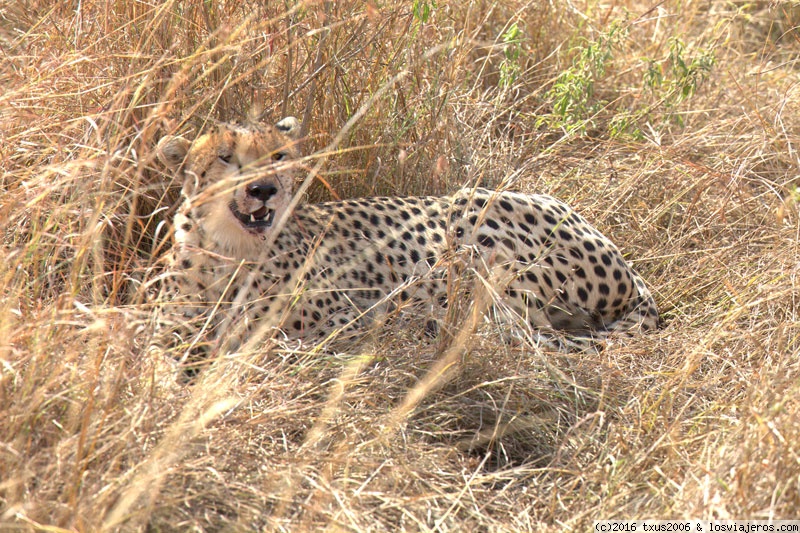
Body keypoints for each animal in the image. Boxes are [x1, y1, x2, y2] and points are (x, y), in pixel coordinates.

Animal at [150, 116, 656, 374]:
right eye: (226, 158)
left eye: (279, 156)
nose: (264, 190)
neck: (231, 251)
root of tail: (635, 282)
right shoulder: (171, 327)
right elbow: (158, 354)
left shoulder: (351, 322)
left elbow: (277, 346)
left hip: (472, 207)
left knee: (513, 332)